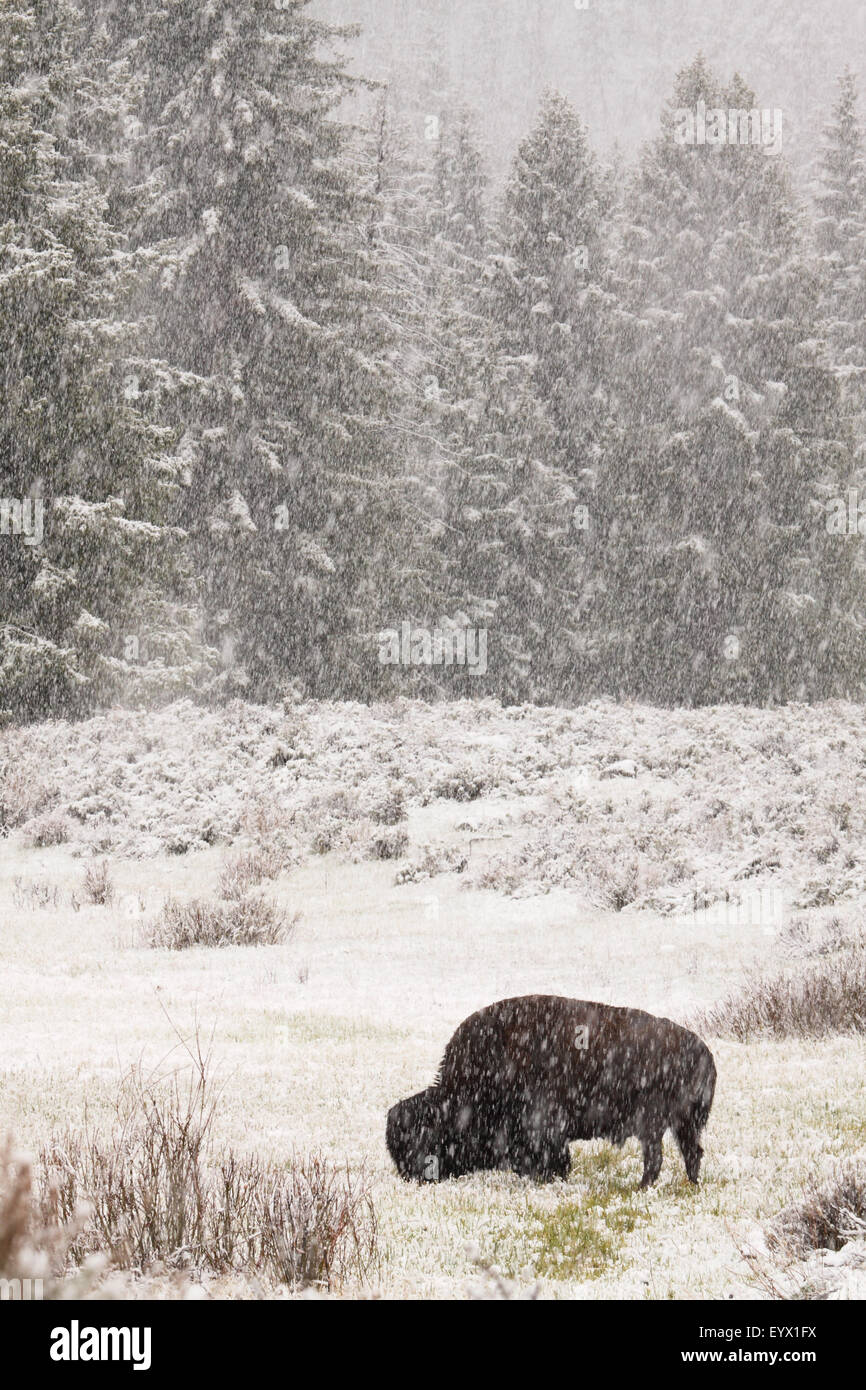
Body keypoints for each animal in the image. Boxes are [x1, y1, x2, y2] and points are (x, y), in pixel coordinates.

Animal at [387, 994, 716, 1187]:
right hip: (678, 1126)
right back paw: (688, 1185)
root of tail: (703, 1051)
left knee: (659, 1157)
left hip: (657, 1125)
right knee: (690, 1153)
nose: (411, 1176)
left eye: (422, 1138)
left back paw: (644, 1187)